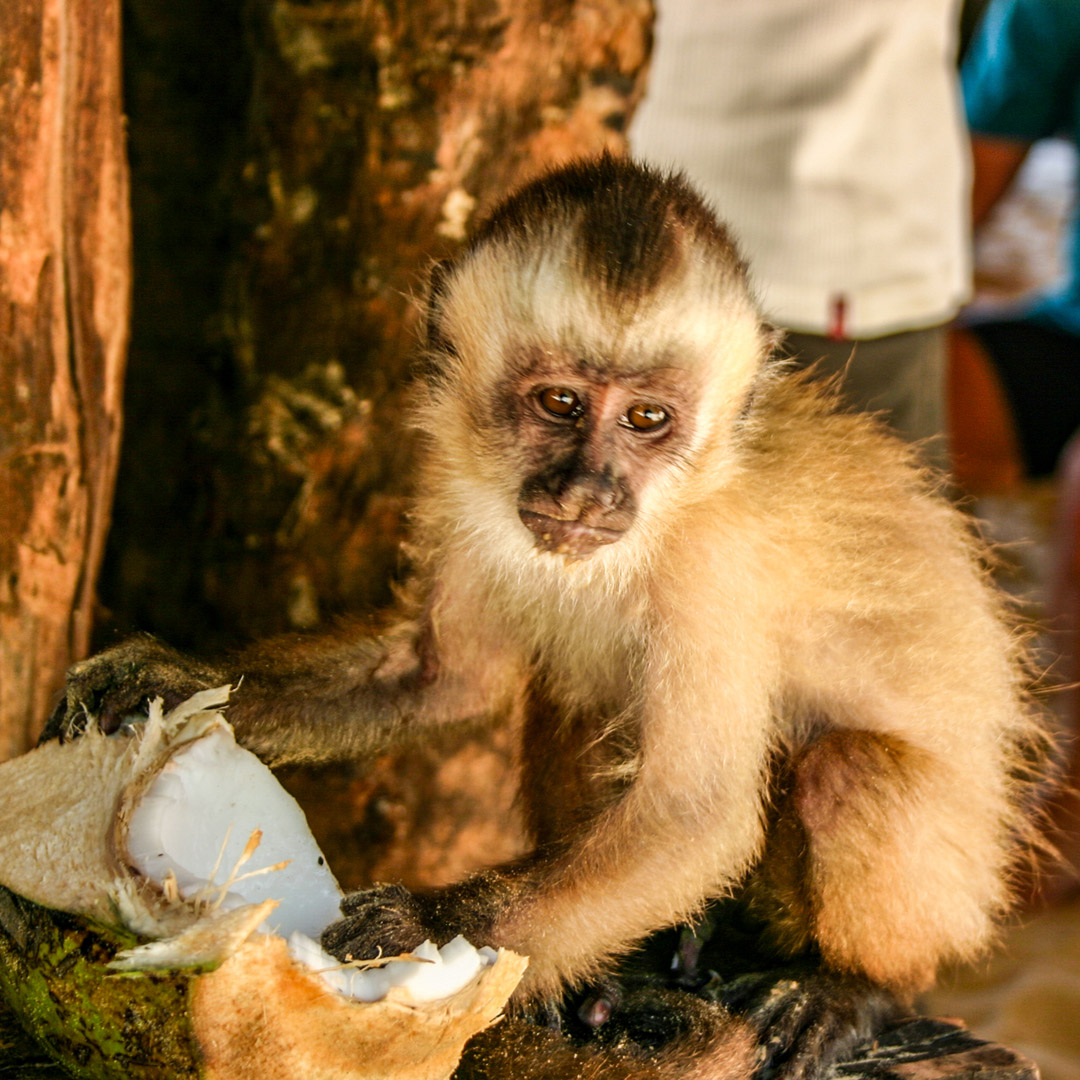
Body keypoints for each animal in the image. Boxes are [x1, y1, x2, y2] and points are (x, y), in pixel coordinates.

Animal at [46, 156, 1049, 1075]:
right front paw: (174, 677)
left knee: (849, 771)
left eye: (647, 419)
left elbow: (694, 816)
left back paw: (857, 989)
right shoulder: (454, 475)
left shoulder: (714, 561)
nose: (589, 489)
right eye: (560, 403)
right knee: (572, 693)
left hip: (958, 886)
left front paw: (422, 926)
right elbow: (439, 679)